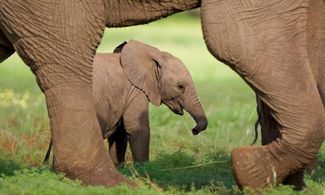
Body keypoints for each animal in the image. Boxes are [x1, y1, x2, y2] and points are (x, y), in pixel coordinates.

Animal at [43, 40, 206, 165]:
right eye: (180, 87)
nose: (194, 130)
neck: (154, 53)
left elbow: (120, 132)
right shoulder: (135, 90)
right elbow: (137, 127)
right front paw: (143, 170)